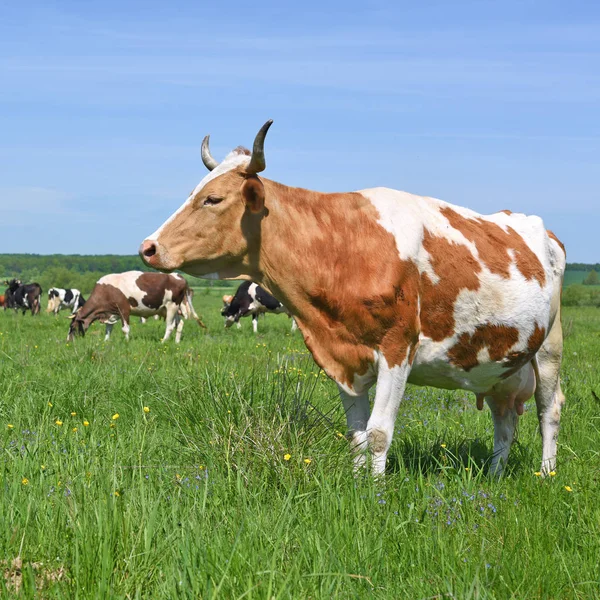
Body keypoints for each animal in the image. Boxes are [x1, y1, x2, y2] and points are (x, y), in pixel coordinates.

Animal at [141, 120, 568, 478]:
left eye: (212, 199)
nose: (148, 247)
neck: (342, 246)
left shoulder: (398, 348)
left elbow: (379, 433)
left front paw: (376, 496)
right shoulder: (343, 356)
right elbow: (357, 436)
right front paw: (359, 486)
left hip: (549, 347)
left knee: (548, 410)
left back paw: (547, 474)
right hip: (500, 365)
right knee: (504, 420)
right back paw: (493, 476)